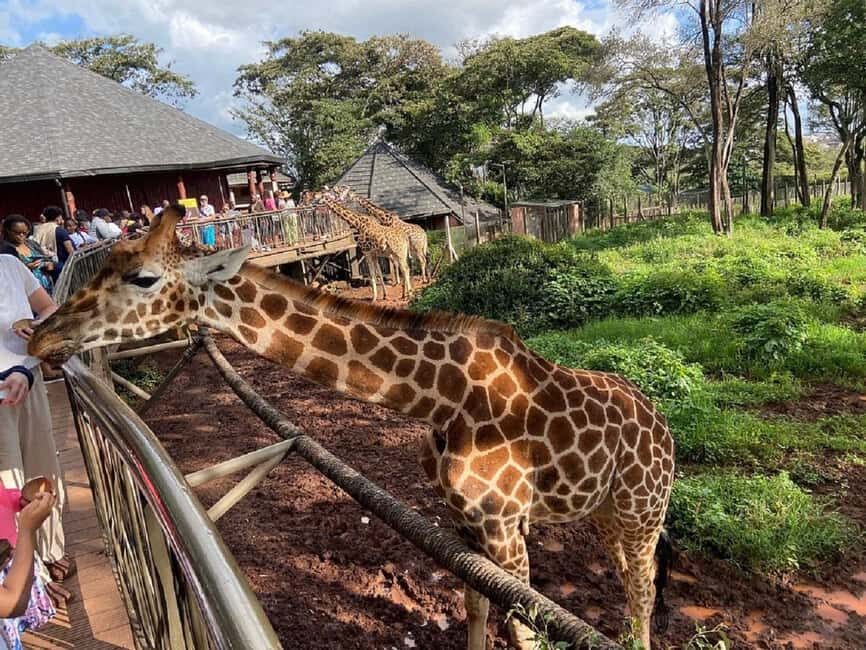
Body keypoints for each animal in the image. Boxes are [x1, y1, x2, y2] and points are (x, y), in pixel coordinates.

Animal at [29, 205, 675, 650]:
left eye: (142, 278)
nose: (41, 336)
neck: (440, 399)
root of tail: (662, 424)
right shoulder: (467, 521)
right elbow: (476, 605)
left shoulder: (502, 523)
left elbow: (525, 630)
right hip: (605, 512)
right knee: (629, 582)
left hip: (643, 508)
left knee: (642, 590)